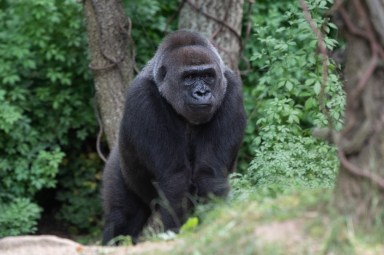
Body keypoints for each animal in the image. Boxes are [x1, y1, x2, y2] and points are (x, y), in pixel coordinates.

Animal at [102, 29, 246, 245]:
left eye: (208, 75)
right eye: (189, 77)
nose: (202, 92)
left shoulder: (232, 91)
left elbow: (209, 174)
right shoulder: (142, 97)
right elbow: (175, 178)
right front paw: (177, 233)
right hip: (119, 165)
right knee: (122, 218)